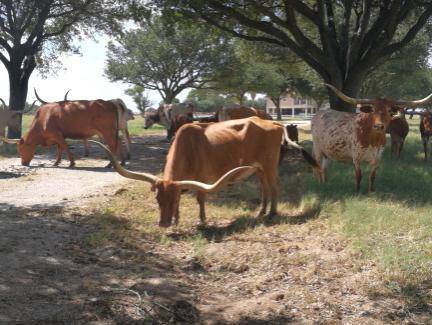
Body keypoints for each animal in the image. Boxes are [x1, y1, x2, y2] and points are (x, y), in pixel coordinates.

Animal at [91, 116, 320, 225]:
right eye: (158, 199)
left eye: (173, 200)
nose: (163, 224)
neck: (187, 146)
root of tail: (274, 123)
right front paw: (176, 219)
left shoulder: (202, 178)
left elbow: (200, 198)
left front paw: (201, 220)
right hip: (259, 168)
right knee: (265, 188)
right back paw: (261, 212)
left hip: (270, 165)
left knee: (274, 187)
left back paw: (272, 214)